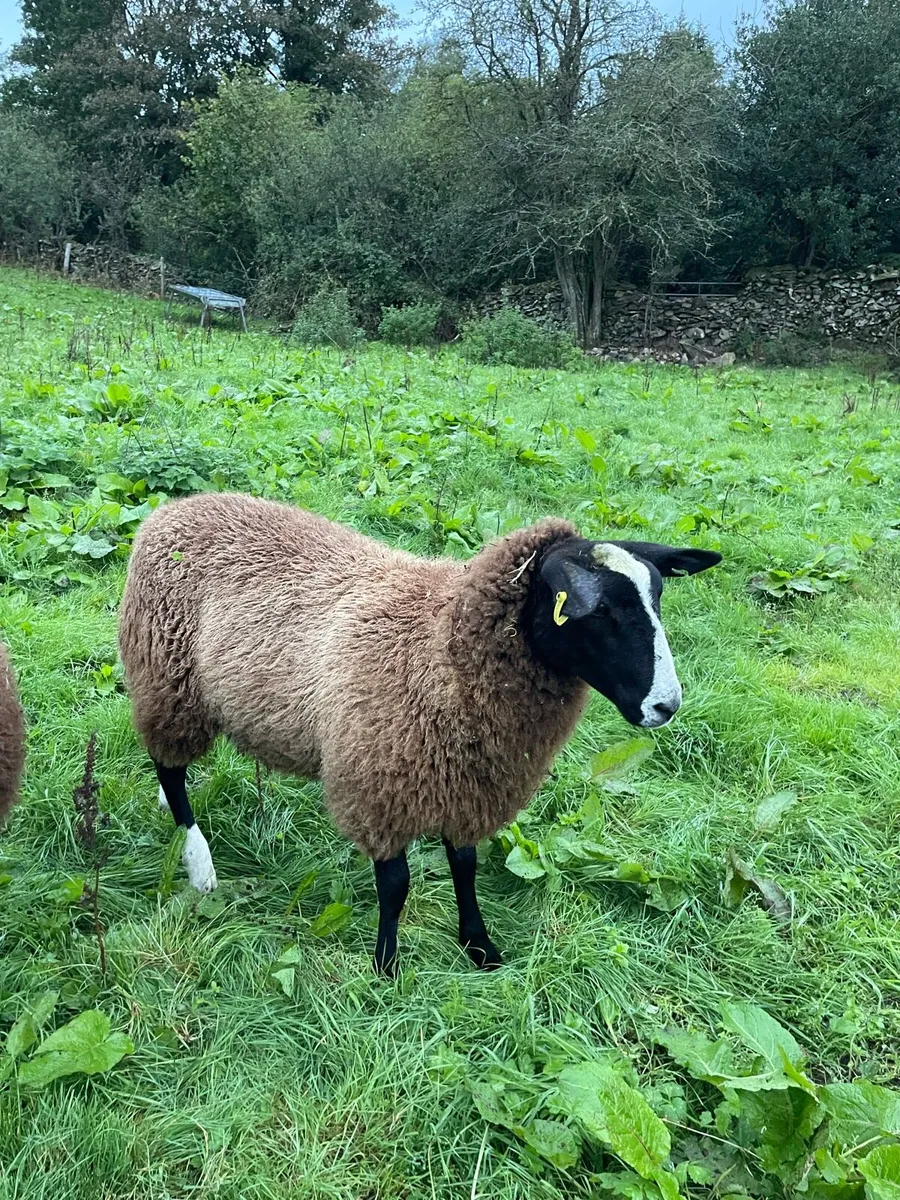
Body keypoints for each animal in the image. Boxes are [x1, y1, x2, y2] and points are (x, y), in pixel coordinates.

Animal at [118, 493, 720, 974]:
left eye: (657, 598)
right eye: (597, 613)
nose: (666, 705)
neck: (440, 648)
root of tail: (177, 507)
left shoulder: (467, 781)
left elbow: (465, 868)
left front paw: (479, 948)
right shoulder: (380, 786)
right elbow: (396, 885)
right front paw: (386, 966)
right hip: (168, 681)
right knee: (170, 769)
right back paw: (198, 862)